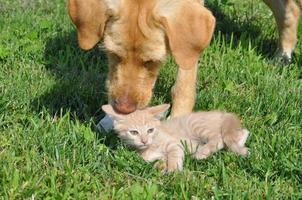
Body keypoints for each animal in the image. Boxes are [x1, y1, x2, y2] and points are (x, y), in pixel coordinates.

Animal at [102, 104, 249, 172]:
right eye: (134, 132)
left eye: (150, 130)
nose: (144, 140)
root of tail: (222, 114)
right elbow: (158, 159)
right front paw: (160, 167)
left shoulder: (174, 143)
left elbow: (174, 154)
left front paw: (173, 171)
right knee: (241, 133)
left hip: (198, 126)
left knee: (220, 139)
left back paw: (202, 153)